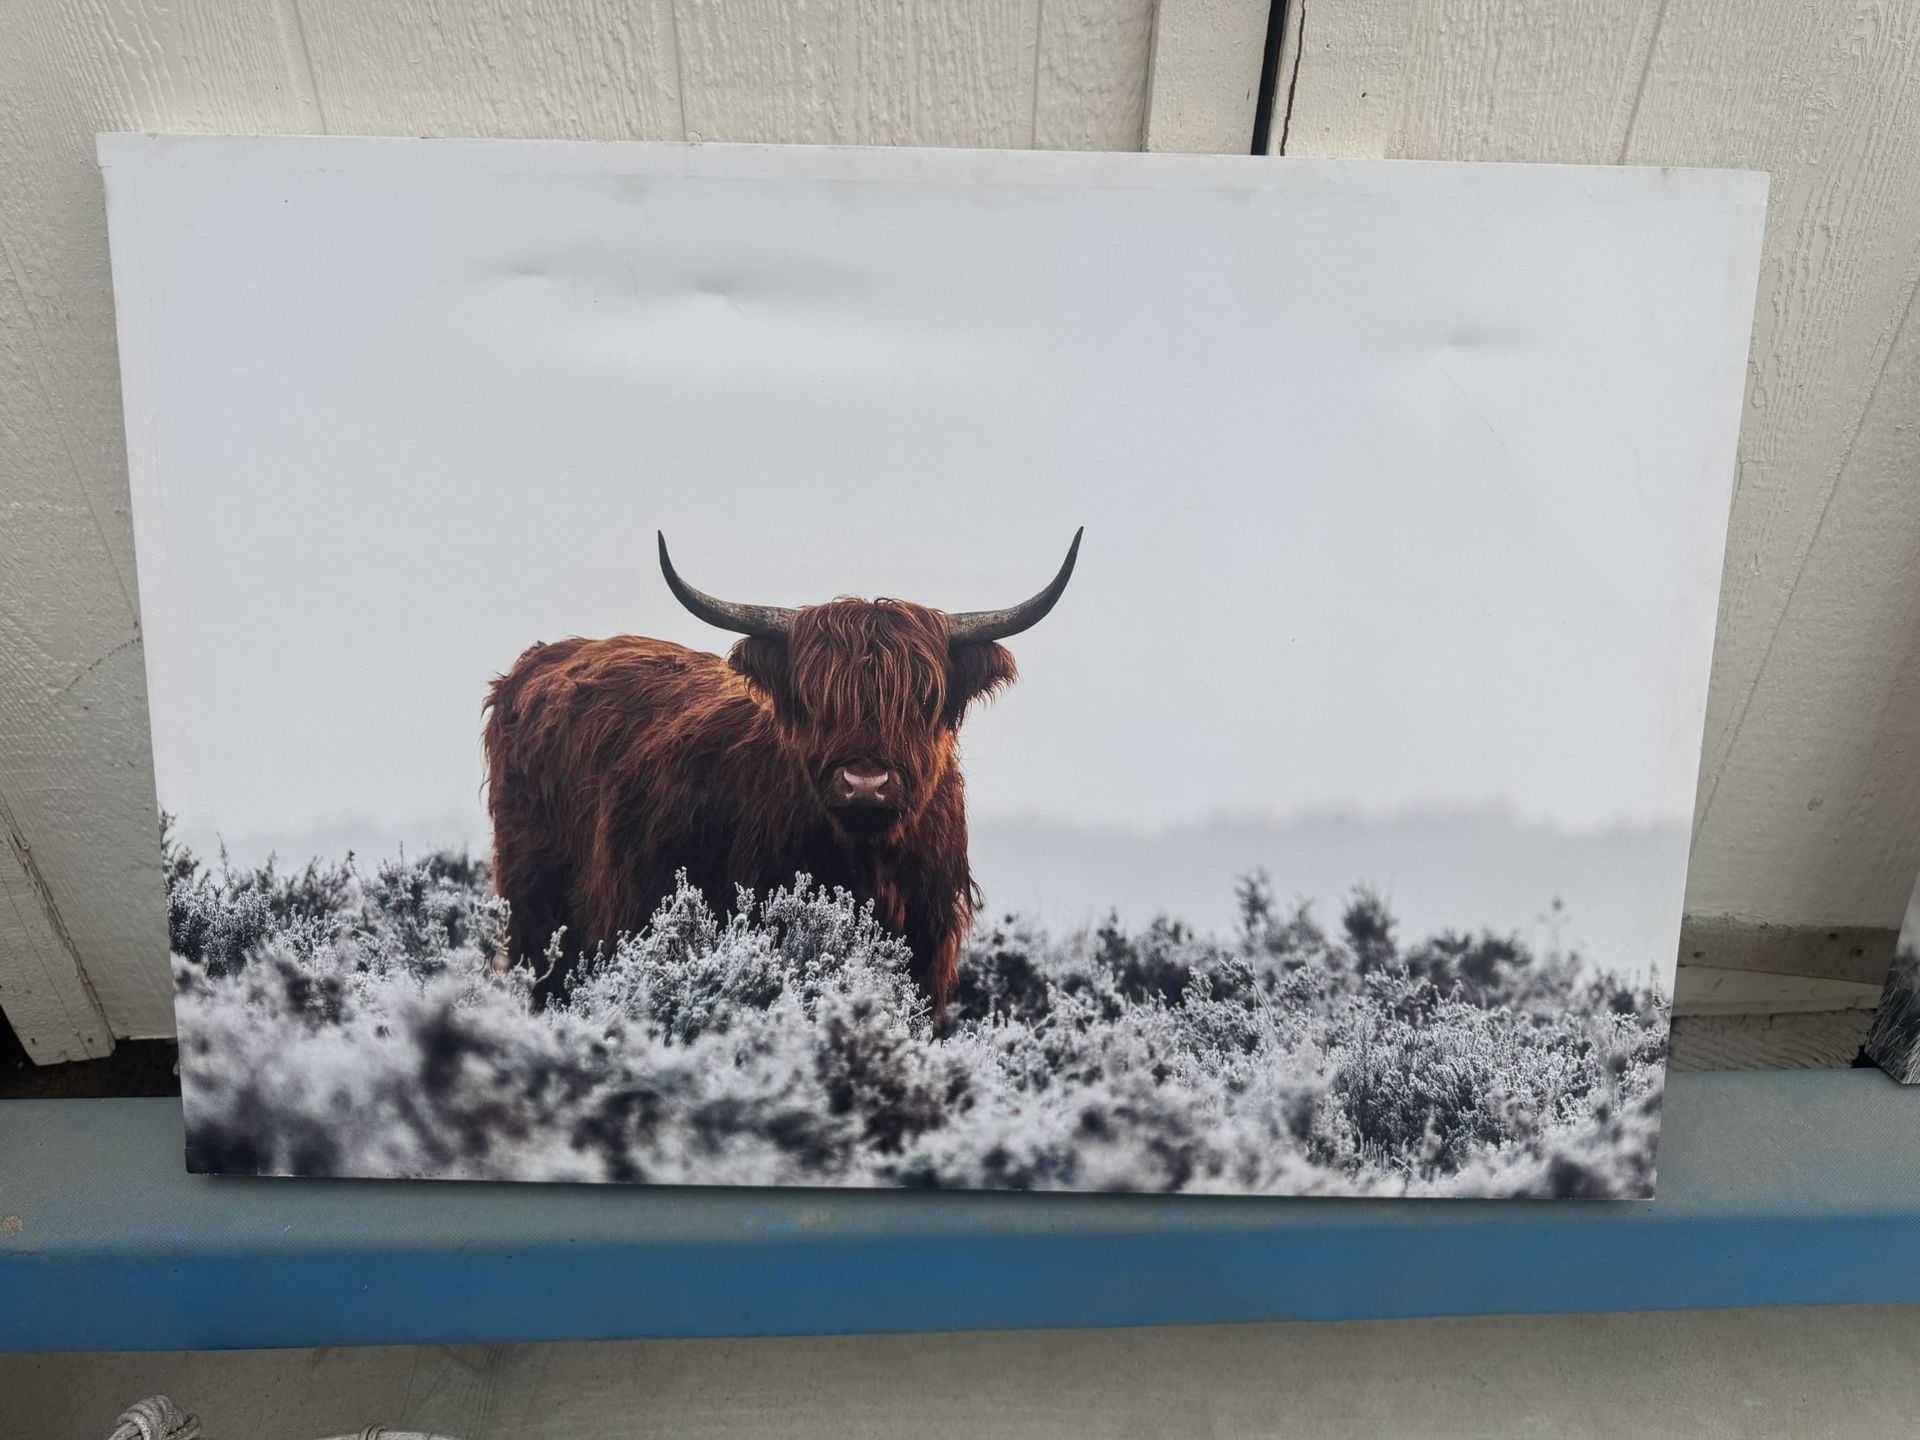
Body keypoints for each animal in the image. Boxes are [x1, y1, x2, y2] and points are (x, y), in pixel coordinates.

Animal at [483, 529, 1081, 1015]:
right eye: (817, 699)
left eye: (922, 700)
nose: (865, 784)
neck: (866, 862)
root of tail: (539, 661)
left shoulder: (927, 953)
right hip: (537, 911)